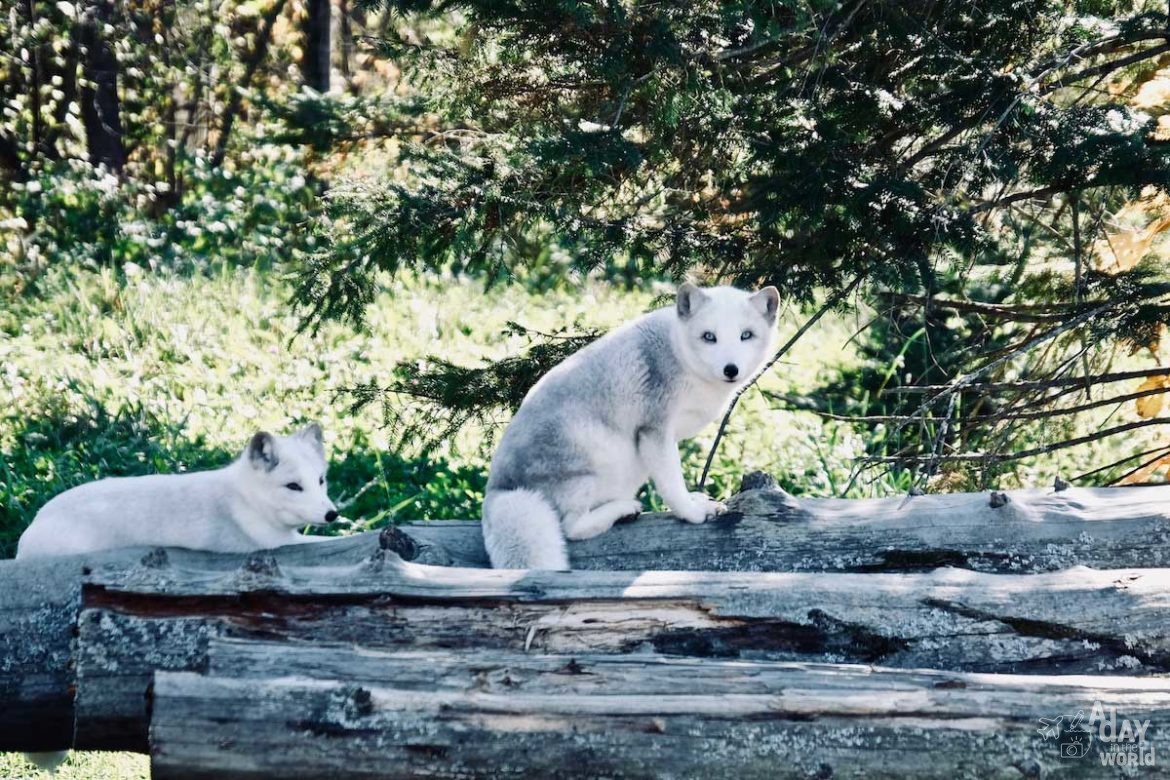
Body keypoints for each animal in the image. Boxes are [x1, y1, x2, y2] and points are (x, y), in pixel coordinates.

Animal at [17, 423, 339, 558]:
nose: (332, 515)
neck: (246, 500)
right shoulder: (276, 543)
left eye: (320, 480)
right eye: (293, 486)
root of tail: (31, 526)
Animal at [479, 284, 781, 570]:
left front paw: (695, 499)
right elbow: (671, 484)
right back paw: (622, 510)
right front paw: (692, 513)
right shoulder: (654, 430)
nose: (731, 369)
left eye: (746, 335)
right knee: (571, 527)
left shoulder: (668, 436)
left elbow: (675, 479)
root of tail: (498, 490)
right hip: (606, 453)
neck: (680, 354)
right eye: (709, 337)